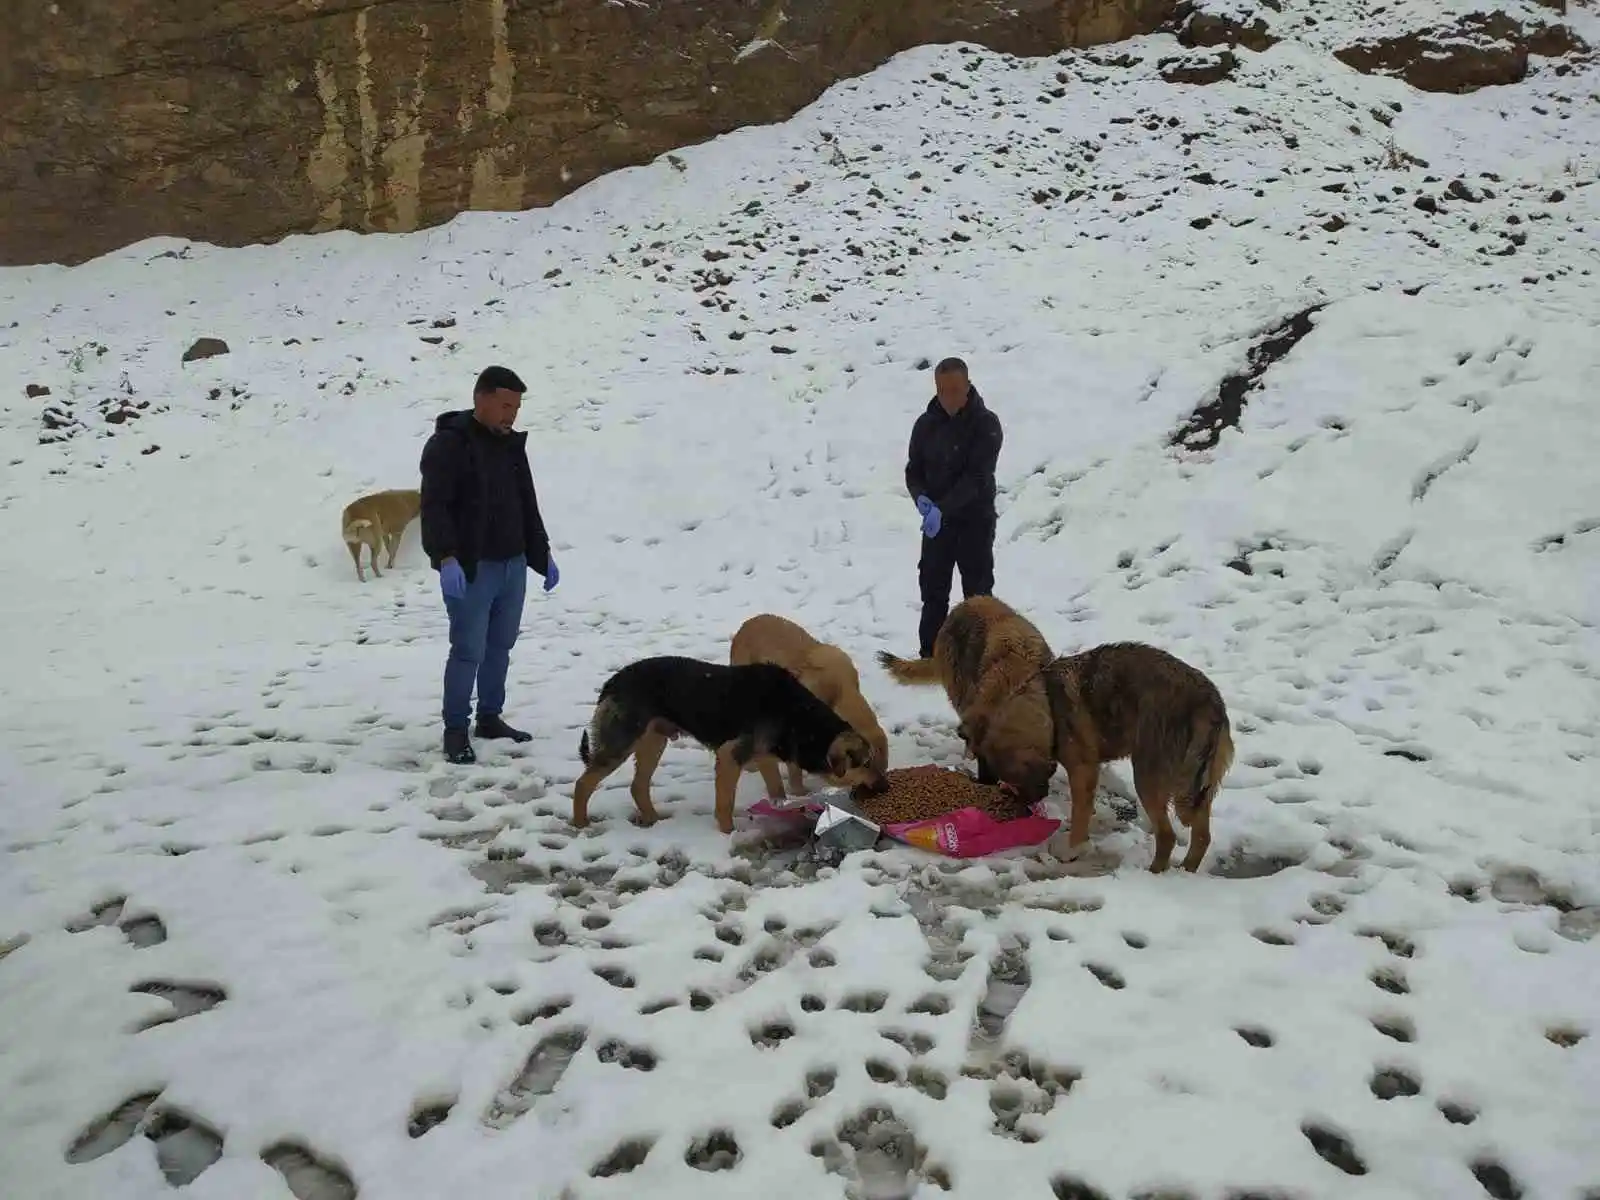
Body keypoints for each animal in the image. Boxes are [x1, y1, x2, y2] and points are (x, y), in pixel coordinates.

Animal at [572, 659, 889, 838]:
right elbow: (725, 803)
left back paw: (653, 820)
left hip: (653, 740)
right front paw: (728, 835)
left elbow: (776, 789)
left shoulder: (763, 756)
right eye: (867, 763)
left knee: (638, 785)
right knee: (583, 783)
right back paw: (580, 824)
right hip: (622, 743)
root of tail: (612, 682)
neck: (800, 717)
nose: (885, 788)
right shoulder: (730, 756)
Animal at [1049, 640, 1235, 876]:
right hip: (1199, 788)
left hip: (1146, 778)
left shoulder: (1083, 768)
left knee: (1167, 836)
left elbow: (1079, 815)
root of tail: (1208, 702)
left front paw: (1072, 851)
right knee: (1201, 837)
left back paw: (1152, 874)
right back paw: (1185, 872)